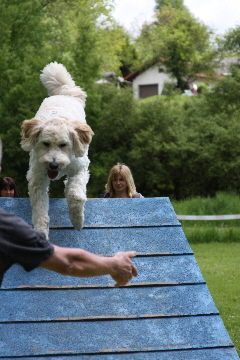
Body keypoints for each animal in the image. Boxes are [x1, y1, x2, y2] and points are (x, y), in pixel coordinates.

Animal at [20, 62, 94, 239]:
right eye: (45, 143)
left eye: (63, 144)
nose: (53, 165)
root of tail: (64, 92)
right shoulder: (37, 177)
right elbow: (40, 210)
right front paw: (41, 233)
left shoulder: (80, 168)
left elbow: (75, 195)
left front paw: (77, 220)